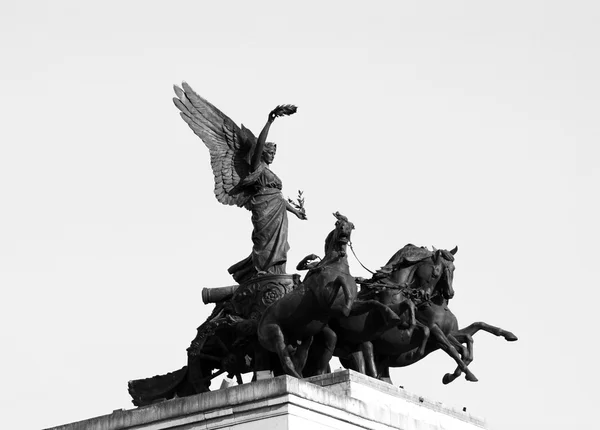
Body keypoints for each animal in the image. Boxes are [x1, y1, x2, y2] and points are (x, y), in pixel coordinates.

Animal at [256, 213, 358, 378]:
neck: (335, 265)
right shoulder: (325, 299)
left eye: (351, 225)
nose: (344, 229)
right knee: (285, 360)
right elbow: (340, 281)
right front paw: (346, 308)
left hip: (304, 339)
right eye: (337, 223)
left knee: (299, 359)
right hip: (275, 333)